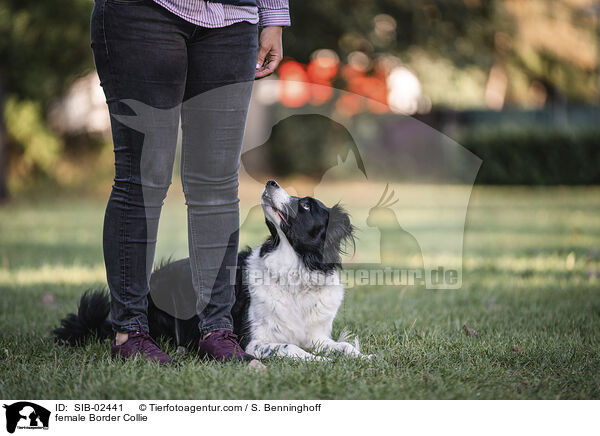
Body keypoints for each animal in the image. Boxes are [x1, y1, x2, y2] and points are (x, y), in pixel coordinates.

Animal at [55, 181, 370, 362]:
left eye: (305, 205)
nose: (271, 181)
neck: (294, 271)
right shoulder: (253, 341)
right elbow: (290, 348)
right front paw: (321, 361)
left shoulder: (317, 335)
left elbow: (343, 347)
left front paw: (364, 357)